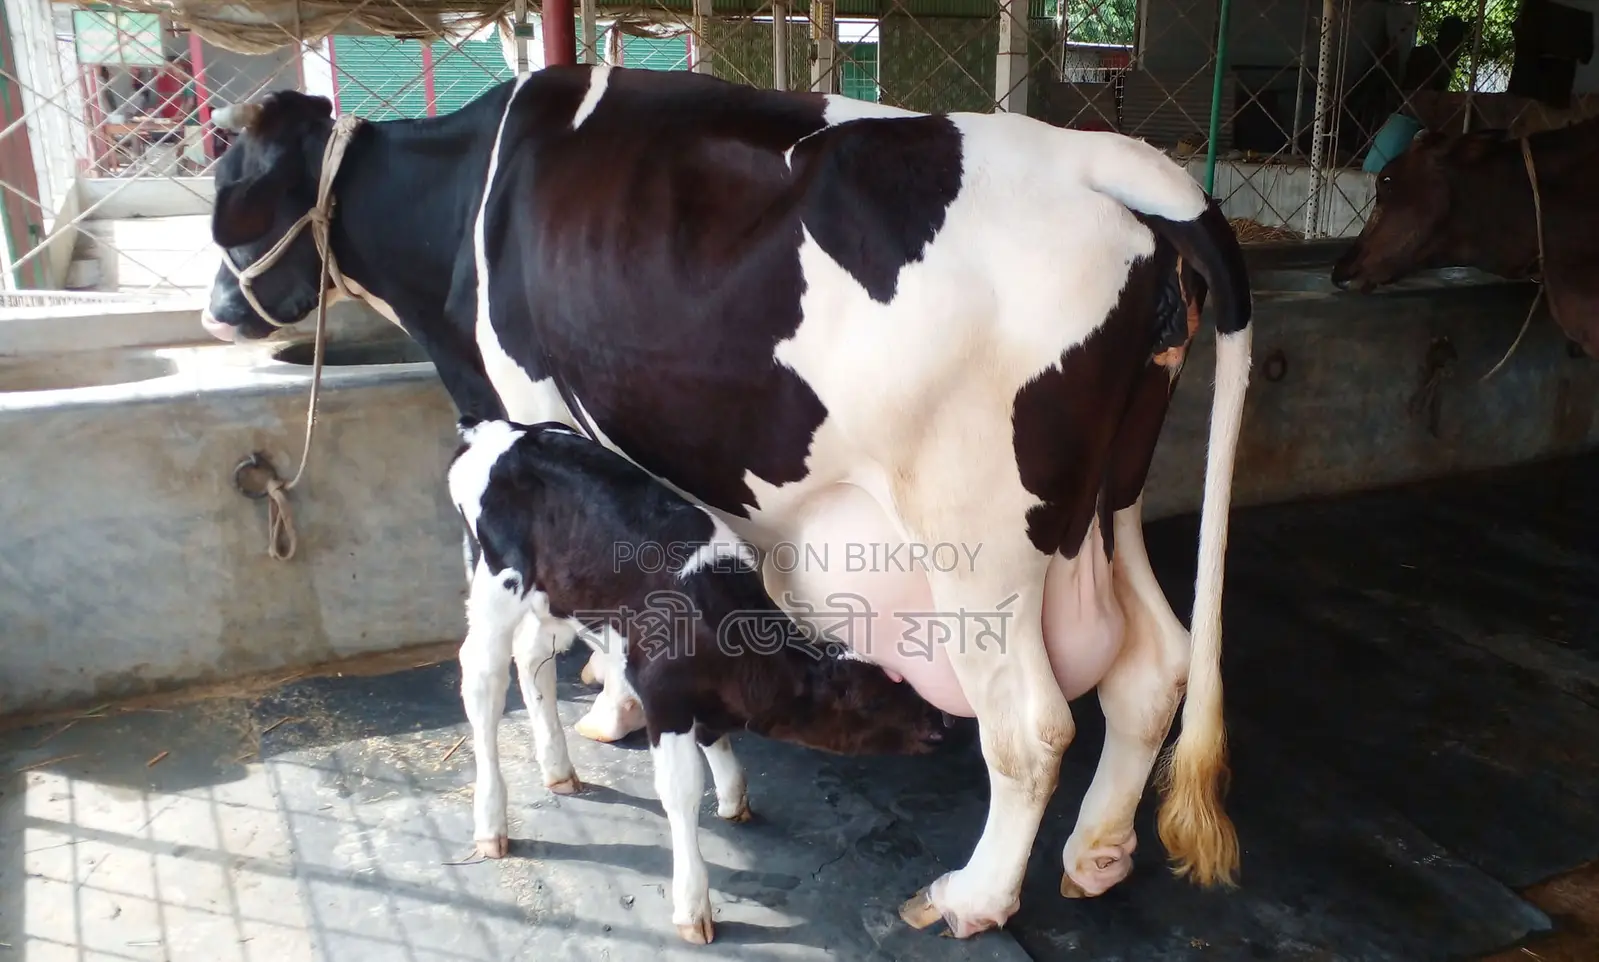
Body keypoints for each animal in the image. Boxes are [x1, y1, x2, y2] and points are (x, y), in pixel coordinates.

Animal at [447, 414, 947, 942]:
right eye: (874, 700)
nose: (943, 726)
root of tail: (496, 429)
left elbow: (716, 740)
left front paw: (733, 797)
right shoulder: (663, 700)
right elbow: (682, 791)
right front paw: (693, 904)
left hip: (556, 595)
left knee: (532, 658)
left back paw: (558, 770)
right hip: (496, 580)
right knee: (482, 679)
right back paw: (491, 822)